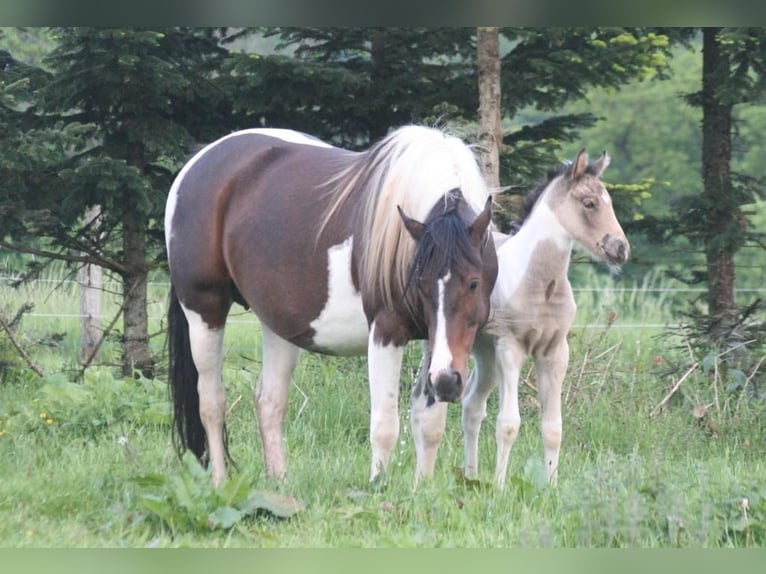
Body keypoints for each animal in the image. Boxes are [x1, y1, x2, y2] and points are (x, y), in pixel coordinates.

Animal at [164, 126, 498, 486]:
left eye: (473, 283)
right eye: (419, 283)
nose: (448, 383)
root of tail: (198, 162)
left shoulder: (434, 341)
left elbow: (430, 424)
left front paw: (421, 488)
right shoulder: (387, 332)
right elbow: (384, 425)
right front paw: (378, 488)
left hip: (278, 324)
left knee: (269, 401)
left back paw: (280, 483)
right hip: (204, 310)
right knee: (211, 401)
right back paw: (220, 483)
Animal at [410, 149, 629, 487]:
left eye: (611, 202)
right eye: (590, 203)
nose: (620, 249)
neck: (542, 286)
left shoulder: (555, 352)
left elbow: (553, 426)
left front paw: (551, 487)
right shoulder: (510, 348)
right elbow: (508, 423)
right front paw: (501, 488)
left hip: (485, 356)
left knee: (472, 406)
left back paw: (471, 476)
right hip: (456, 351)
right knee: (425, 407)